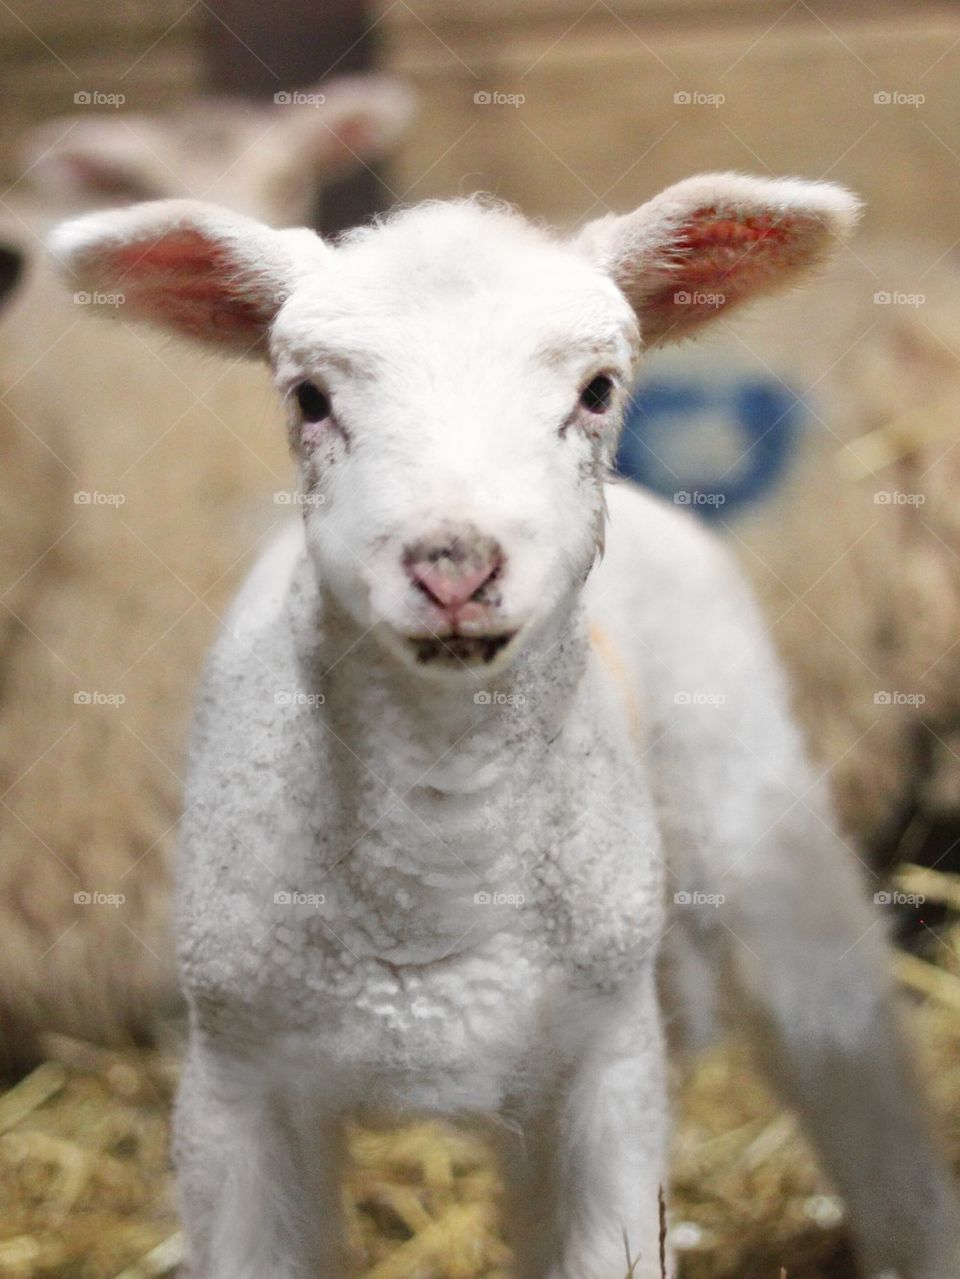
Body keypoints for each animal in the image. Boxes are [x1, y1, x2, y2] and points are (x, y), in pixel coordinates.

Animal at [52, 175, 960, 1279]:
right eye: (309, 398)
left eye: (599, 390)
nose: (452, 562)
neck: (439, 874)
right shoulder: (236, 1092)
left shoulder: (611, 1080)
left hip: (747, 796)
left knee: (840, 1041)